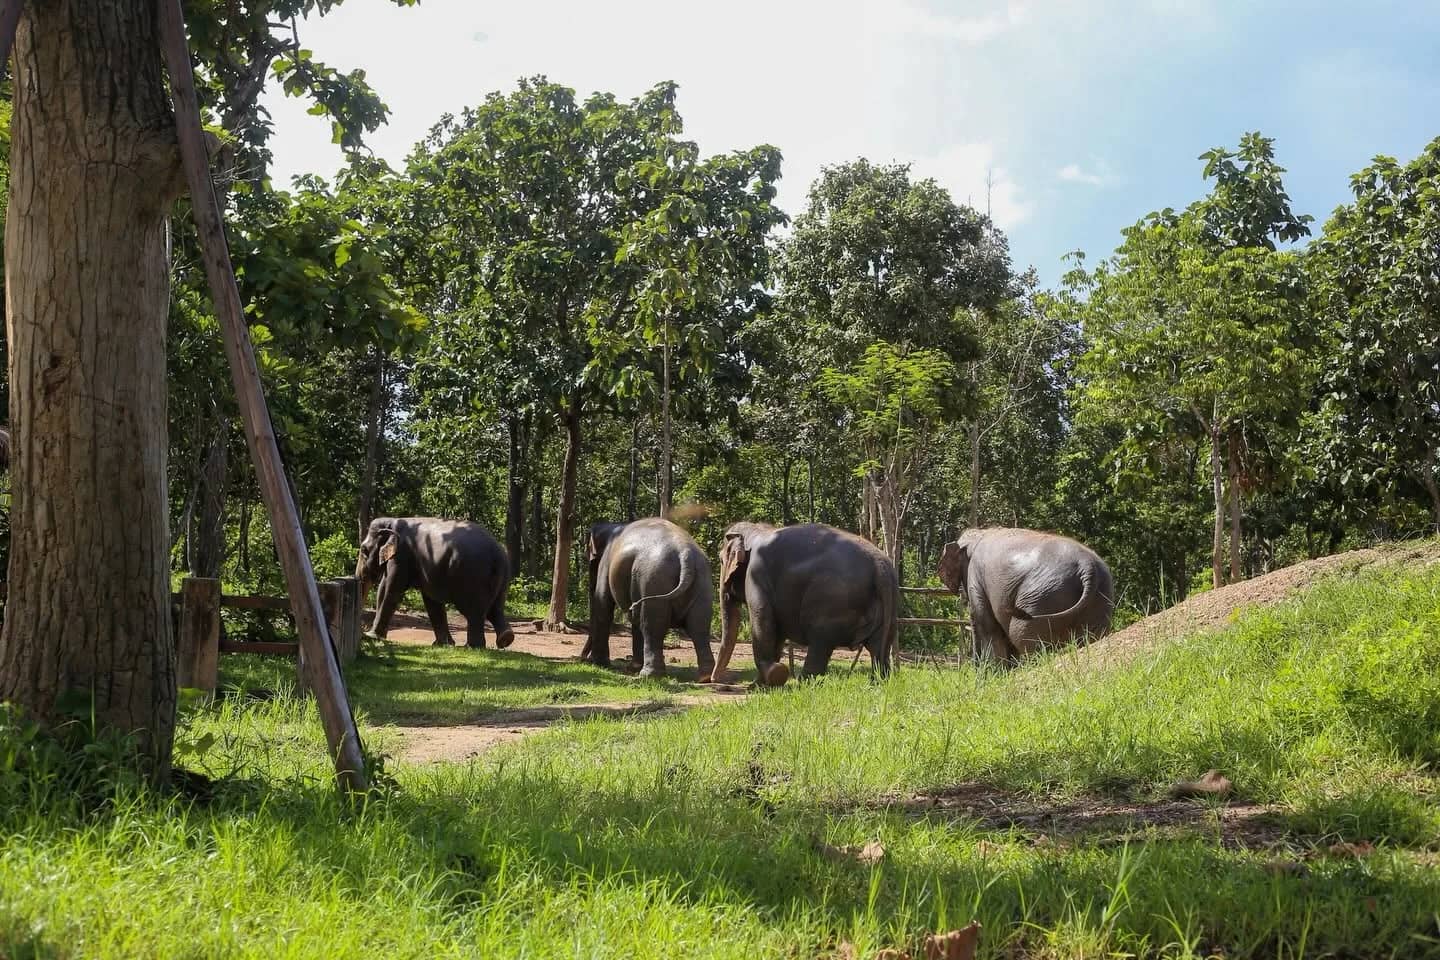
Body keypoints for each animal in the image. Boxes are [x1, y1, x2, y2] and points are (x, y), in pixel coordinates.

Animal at [356, 516, 515, 649]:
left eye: (364, 550)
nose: (363, 629)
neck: (392, 520)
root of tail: (497, 553)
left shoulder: (401, 555)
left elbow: (389, 589)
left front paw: (372, 636)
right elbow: (431, 600)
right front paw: (442, 644)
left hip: (473, 575)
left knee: (475, 611)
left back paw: (472, 647)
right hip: (502, 577)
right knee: (495, 608)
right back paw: (505, 639)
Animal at [581, 517, 716, 679]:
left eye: (590, 558)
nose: (582, 659)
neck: (613, 526)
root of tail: (685, 554)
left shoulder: (606, 563)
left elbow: (603, 603)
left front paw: (600, 664)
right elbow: (633, 618)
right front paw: (631, 668)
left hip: (653, 579)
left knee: (652, 626)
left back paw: (649, 675)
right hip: (702, 582)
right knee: (699, 626)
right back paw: (705, 677)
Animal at [713, 522, 899, 686]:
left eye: (721, 560)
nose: (715, 680)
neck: (757, 529)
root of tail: (880, 566)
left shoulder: (756, 574)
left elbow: (763, 621)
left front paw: (768, 679)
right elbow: (777, 632)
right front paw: (761, 685)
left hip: (830, 602)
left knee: (820, 643)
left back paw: (804, 684)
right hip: (887, 606)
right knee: (878, 648)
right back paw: (877, 684)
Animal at [937, 526, 1113, 666]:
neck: (979, 533)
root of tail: (1087, 567)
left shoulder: (975, 576)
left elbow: (987, 625)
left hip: (1041, 597)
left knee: (1023, 635)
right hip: (1098, 598)